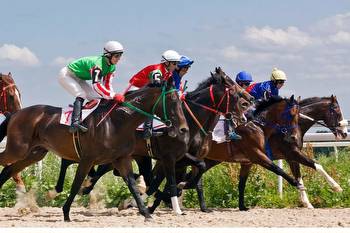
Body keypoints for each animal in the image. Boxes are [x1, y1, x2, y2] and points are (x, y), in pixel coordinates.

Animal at [0, 79, 189, 221]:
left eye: (181, 102)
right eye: (172, 101)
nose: (183, 129)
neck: (117, 122)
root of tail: (15, 114)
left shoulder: (122, 158)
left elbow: (132, 185)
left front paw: (146, 213)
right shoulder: (88, 159)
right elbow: (77, 183)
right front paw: (66, 213)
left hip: (33, 154)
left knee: (8, 170)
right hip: (17, 149)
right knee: (6, 164)